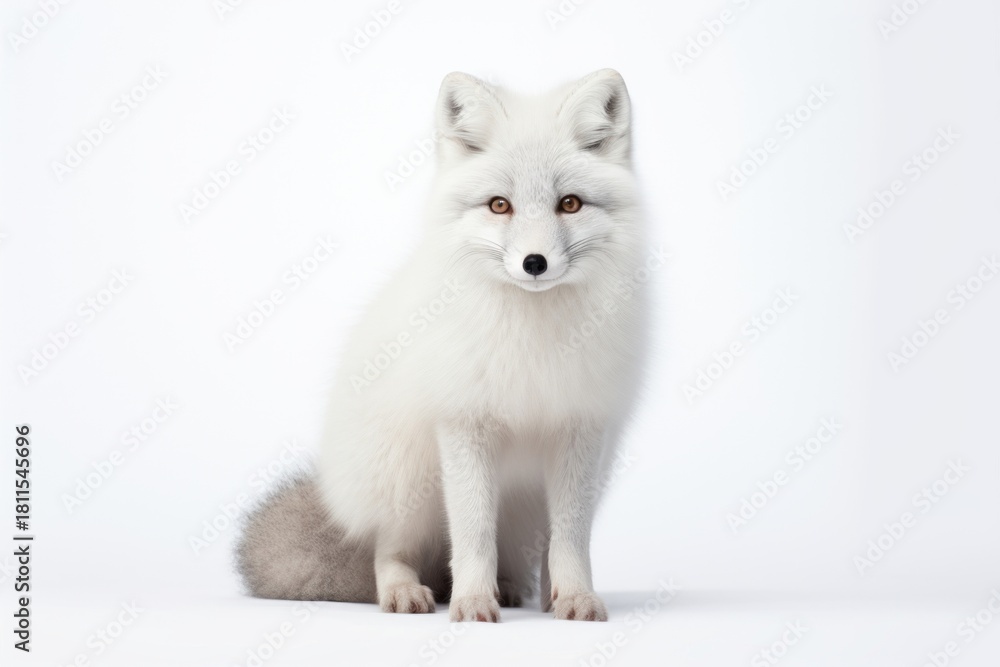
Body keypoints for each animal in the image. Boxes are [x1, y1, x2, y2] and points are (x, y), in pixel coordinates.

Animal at [236, 69, 649, 622]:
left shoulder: (579, 428)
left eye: (570, 203)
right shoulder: (462, 423)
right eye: (500, 205)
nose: (534, 263)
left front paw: (574, 597)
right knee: (391, 550)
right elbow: (472, 533)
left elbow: (569, 537)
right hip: (409, 485)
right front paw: (472, 602)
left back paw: (518, 590)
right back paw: (407, 591)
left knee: (522, 549)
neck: (532, 336)